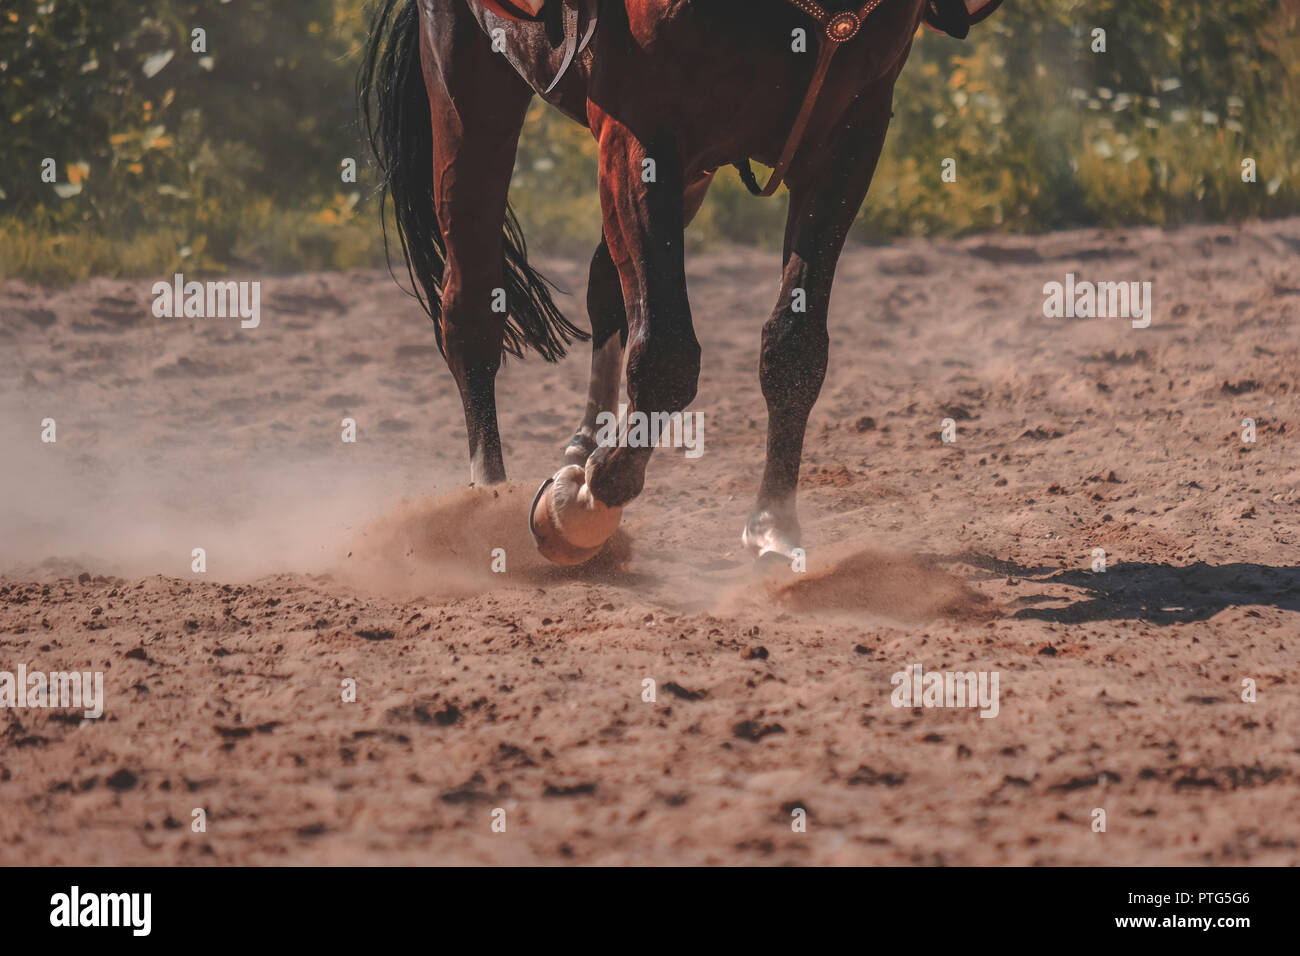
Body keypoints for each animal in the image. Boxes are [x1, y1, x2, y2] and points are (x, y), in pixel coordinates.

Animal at [361, 0, 998, 564]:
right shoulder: (638, 134)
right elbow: (668, 354)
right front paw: (583, 507)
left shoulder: (848, 140)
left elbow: (794, 347)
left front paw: (772, 522)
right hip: (468, 89)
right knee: (469, 306)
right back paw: (491, 499)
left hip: (693, 174)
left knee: (605, 287)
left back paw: (586, 440)